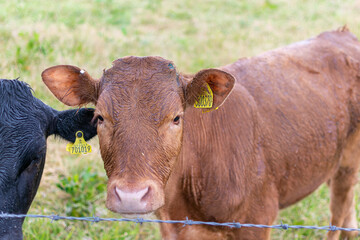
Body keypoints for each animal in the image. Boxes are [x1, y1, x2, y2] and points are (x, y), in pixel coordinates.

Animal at [40, 27, 360, 239]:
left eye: (176, 118)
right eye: (100, 117)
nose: (131, 195)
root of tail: (341, 34)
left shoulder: (258, 219)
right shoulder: (170, 226)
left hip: (348, 163)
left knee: (339, 212)